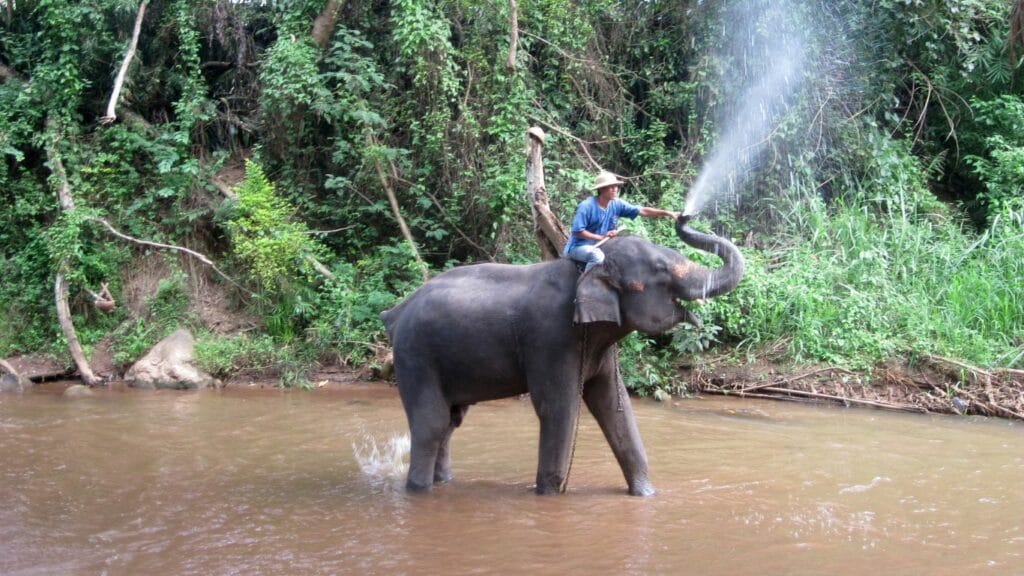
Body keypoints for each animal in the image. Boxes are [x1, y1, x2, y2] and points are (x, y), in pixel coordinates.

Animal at [379, 215, 744, 495]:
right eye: (660, 269)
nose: (684, 216)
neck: (586, 269)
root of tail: (395, 313)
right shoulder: (551, 338)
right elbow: (559, 408)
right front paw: (549, 496)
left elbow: (614, 406)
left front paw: (646, 495)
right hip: (415, 355)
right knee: (432, 423)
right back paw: (419, 491)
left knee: (451, 422)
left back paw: (443, 483)